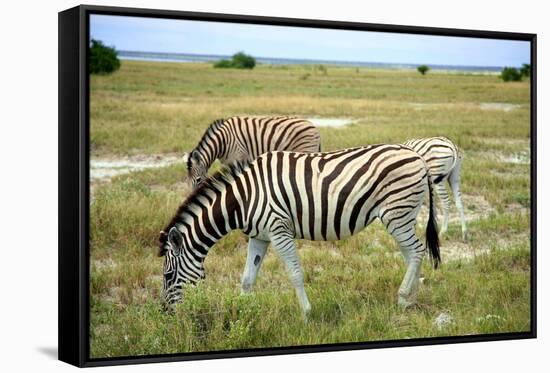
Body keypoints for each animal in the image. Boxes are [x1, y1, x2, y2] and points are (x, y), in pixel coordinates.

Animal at [157, 145, 442, 314]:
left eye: (168, 275)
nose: (165, 312)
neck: (243, 198)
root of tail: (418, 156)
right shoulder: (259, 236)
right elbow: (248, 278)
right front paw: (242, 311)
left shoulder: (279, 230)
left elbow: (294, 274)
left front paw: (307, 314)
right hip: (404, 214)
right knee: (412, 255)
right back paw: (411, 300)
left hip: (396, 213)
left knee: (417, 252)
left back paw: (403, 297)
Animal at [183, 115, 322, 189]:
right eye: (187, 181)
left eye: (198, 180)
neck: (223, 142)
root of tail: (313, 126)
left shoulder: (238, 156)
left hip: (305, 150)